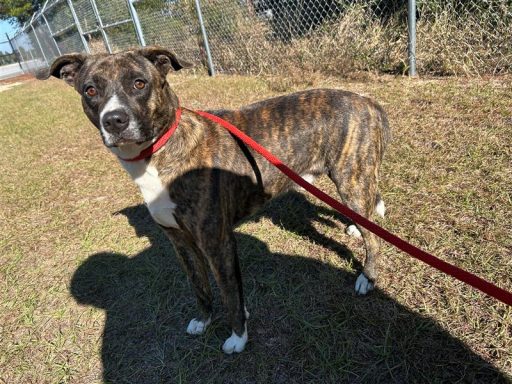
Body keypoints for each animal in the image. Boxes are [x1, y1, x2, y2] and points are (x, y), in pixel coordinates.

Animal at [40, 47, 390, 354]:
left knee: (375, 239)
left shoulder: (217, 242)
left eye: (139, 83)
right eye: (90, 90)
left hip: (350, 180)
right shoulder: (181, 242)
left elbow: (230, 293)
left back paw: (367, 277)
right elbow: (200, 287)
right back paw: (357, 228)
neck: (161, 150)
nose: (114, 120)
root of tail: (367, 100)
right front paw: (204, 320)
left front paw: (238, 337)